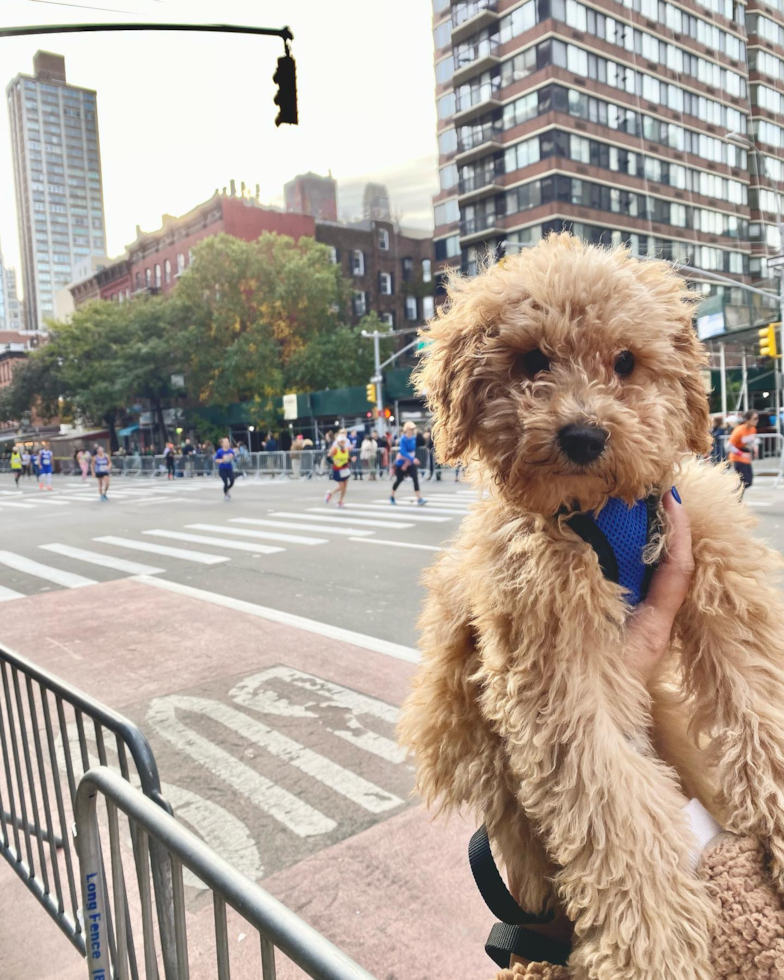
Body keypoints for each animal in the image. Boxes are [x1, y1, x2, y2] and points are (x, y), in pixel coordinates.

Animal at [402, 235, 784, 980]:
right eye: (532, 361)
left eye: (626, 361)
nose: (582, 435)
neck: (601, 512)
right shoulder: (554, 670)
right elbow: (613, 807)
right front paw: (655, 949)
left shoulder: (717, 566)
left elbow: (760, 713)